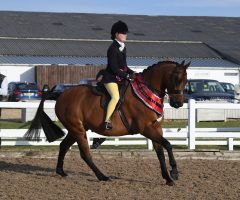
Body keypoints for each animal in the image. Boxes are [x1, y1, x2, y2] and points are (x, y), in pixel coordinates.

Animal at [25, 59, 189, 186]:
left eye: (186, 81)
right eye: (177, 79)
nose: (178, 103)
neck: (147, 91)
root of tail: (61, 95)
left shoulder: (155, 127)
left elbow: (160, 152)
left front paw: (168, 178)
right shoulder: (146, 128)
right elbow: (168, 144)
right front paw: (174, 172)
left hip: (75, 129)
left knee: (64, 146)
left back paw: (61, 172)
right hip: (78, 130)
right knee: (85, 154)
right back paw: (102, 176)